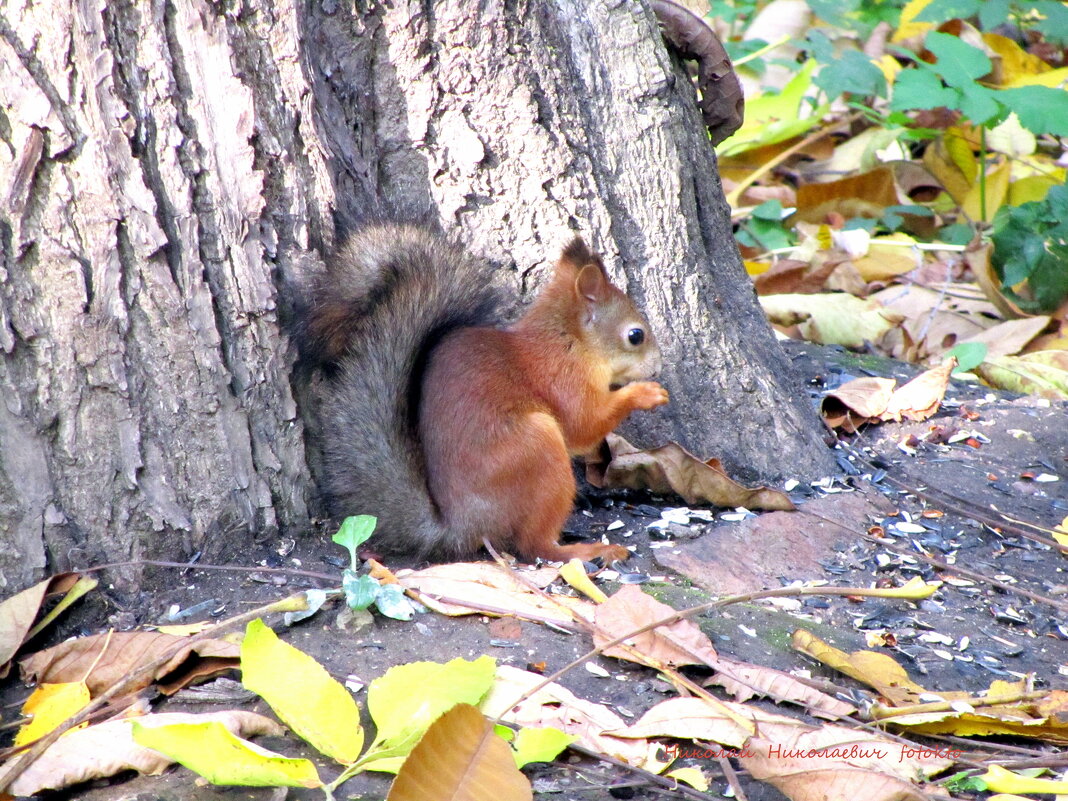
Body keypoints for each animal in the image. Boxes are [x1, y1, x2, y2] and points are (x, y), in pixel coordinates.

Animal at [301, 226, 666, 563]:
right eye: (635, 335)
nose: (658, 366)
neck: (568, 342)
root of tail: (464, 525)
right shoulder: (562, 380)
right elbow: (582, 425)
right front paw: (645, 393)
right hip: (538, 449)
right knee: (534, 546)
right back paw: (588, 550)